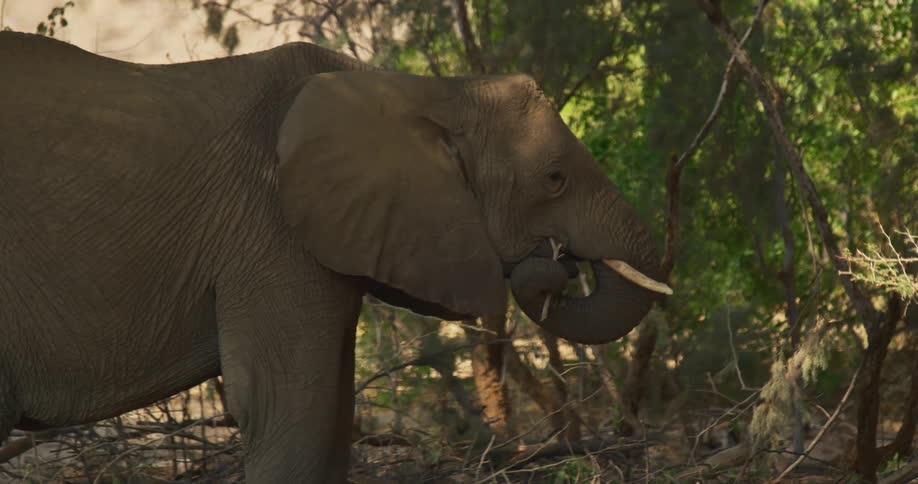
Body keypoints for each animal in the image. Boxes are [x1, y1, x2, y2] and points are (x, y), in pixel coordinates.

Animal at [0, 32, 671, 482]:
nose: (556, 263)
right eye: (555, 179)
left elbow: (332, 412)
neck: (421, 90)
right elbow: (289, 404)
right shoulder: (269, 228)